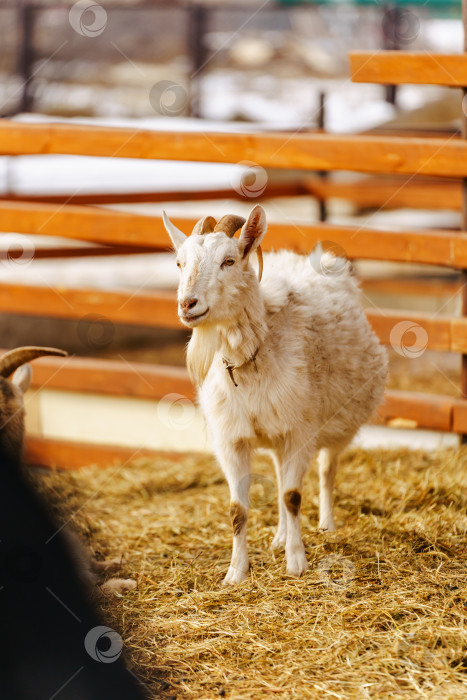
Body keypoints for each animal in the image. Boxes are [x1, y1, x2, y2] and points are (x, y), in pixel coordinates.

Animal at [163, 205, 390, 584]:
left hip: (339, 425)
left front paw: (296, 562)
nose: (187, 304)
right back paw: (280, 536)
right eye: (180, 263)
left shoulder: (300, 431)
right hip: (275, 436)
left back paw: (325, 526)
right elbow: (238, 509)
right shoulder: (232, 440)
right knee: (283, 474)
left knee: (326, 470)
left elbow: (293, 496)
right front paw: (236, 572)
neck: (253, 354)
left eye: (228, 260)